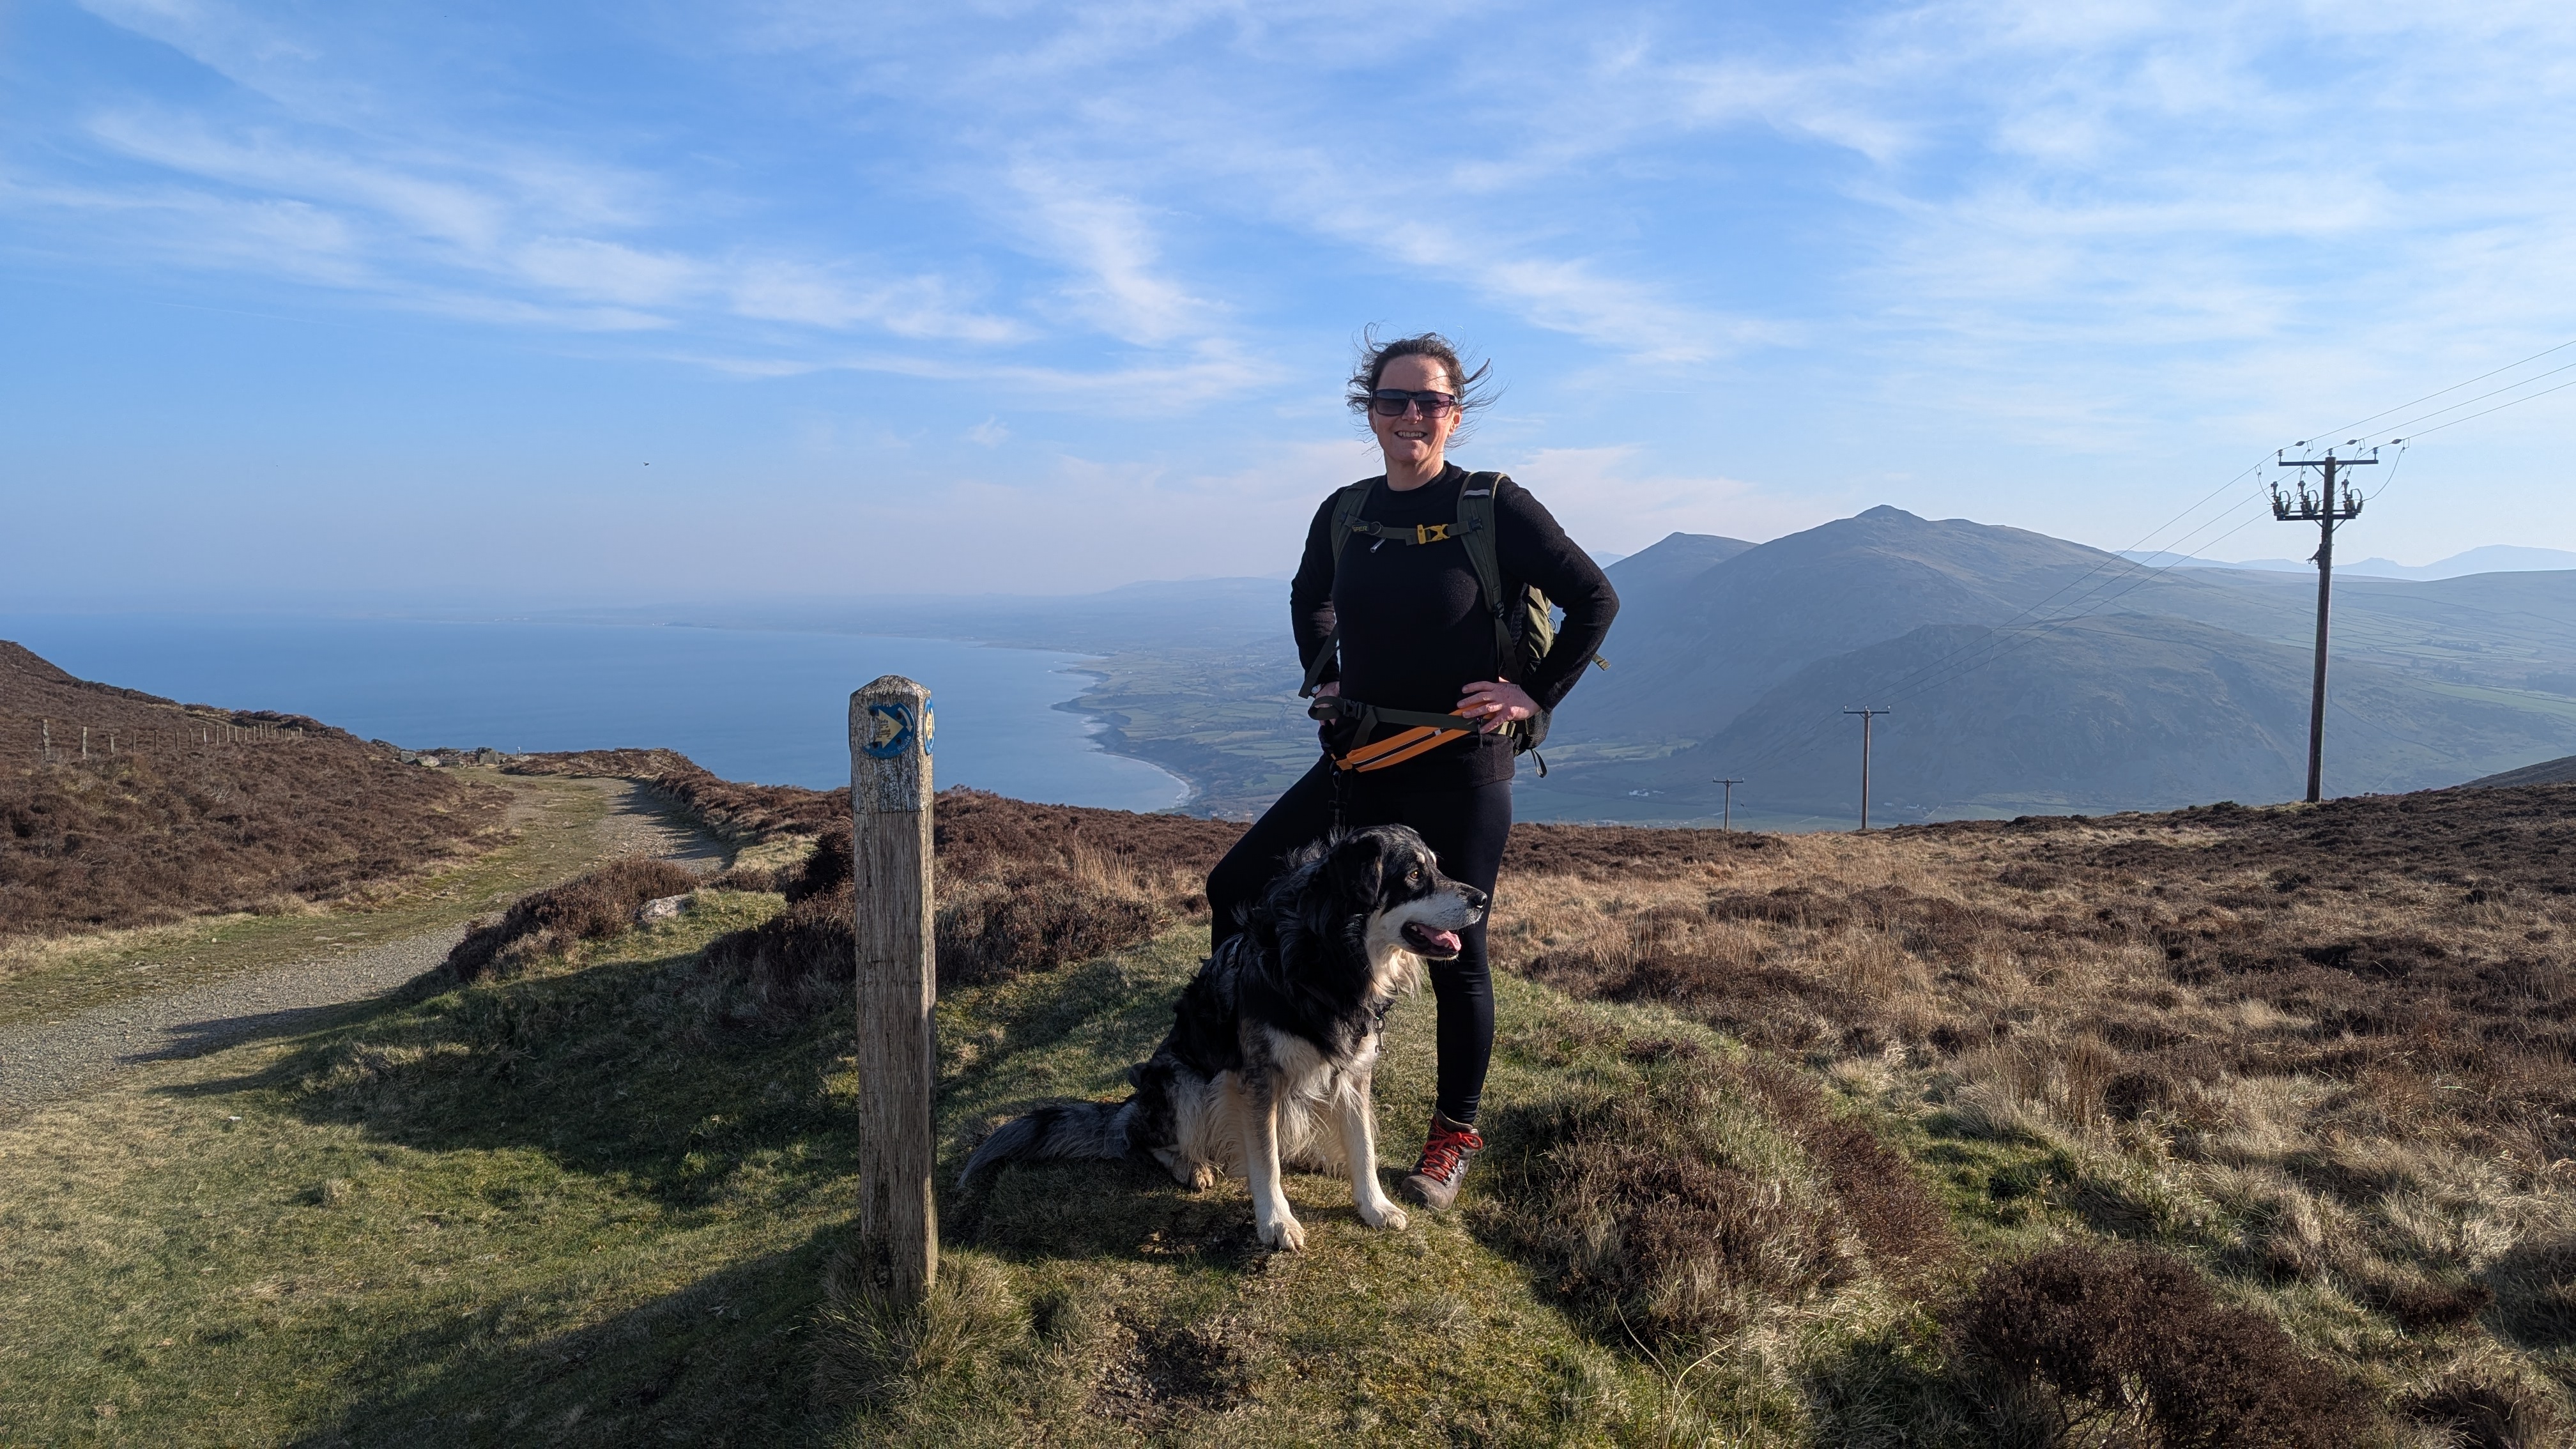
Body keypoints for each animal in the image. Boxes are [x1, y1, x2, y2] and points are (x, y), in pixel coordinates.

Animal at [956, 825, 1488, 1251]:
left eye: (1437, 865)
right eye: (1414, 874)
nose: (1482, 898)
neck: (1328, 961)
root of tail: (1132, 1102)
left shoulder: (1354, 1072)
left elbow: (1363, 1146)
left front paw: (1373, 1205)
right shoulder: (1255, 1080)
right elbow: (1266, 1160)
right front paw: (1276, 1222)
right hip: (1184, 1080)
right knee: (1144, 1139)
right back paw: (1190, 1163)